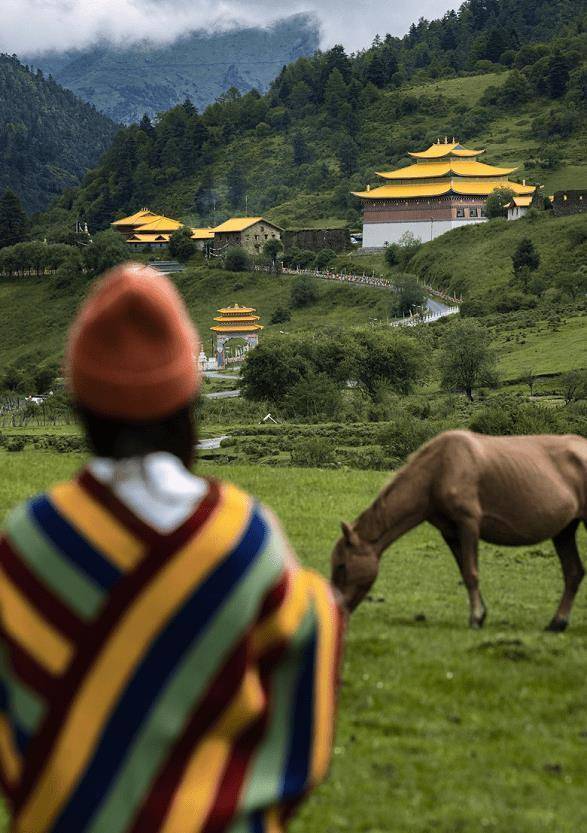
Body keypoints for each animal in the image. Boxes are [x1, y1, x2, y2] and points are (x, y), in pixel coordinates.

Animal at [334, 428, 584, 632]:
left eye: (341, 566)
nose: (338, 612)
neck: (438, 470)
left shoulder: (469, 523)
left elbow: (472, 573)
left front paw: (475, 618)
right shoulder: (450, 532)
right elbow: (465, 571)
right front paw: (481, 614)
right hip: (565, 530)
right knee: (574, 572)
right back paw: (557, 623)